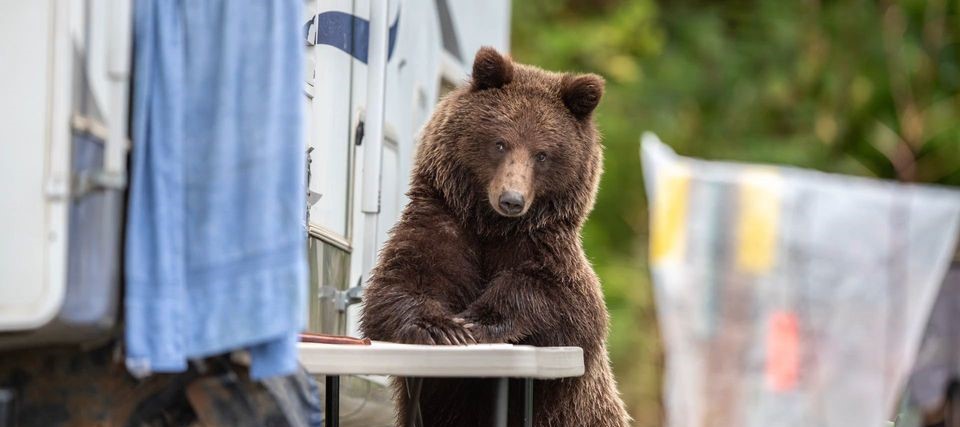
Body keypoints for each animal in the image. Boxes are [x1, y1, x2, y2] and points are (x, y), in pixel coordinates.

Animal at [360, 47, 632, 427]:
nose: (512, 200)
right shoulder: (444, 225)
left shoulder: (541, 245)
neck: (491, 227)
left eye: (542, 154)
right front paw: (442, 327)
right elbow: (400, 283)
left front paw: (478, 320)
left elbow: (563, 302)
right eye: (500, 143)